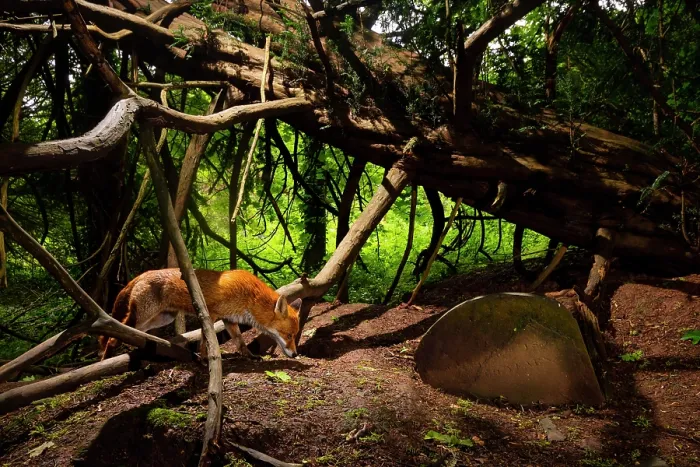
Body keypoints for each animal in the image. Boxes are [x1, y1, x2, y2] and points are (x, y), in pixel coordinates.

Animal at [99, 268, 301, 360]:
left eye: (294, 335)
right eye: (289, 335)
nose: (295, 354)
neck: (250, 296)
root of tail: (143, 274)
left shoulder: (229, 320)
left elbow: (240, 341)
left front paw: (249, 355)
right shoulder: (209, 315)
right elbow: (206, 340)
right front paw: (204, 358)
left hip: (160, 318)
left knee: (129, 332)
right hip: (143, 314)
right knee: (112, 337)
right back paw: (104, 360)